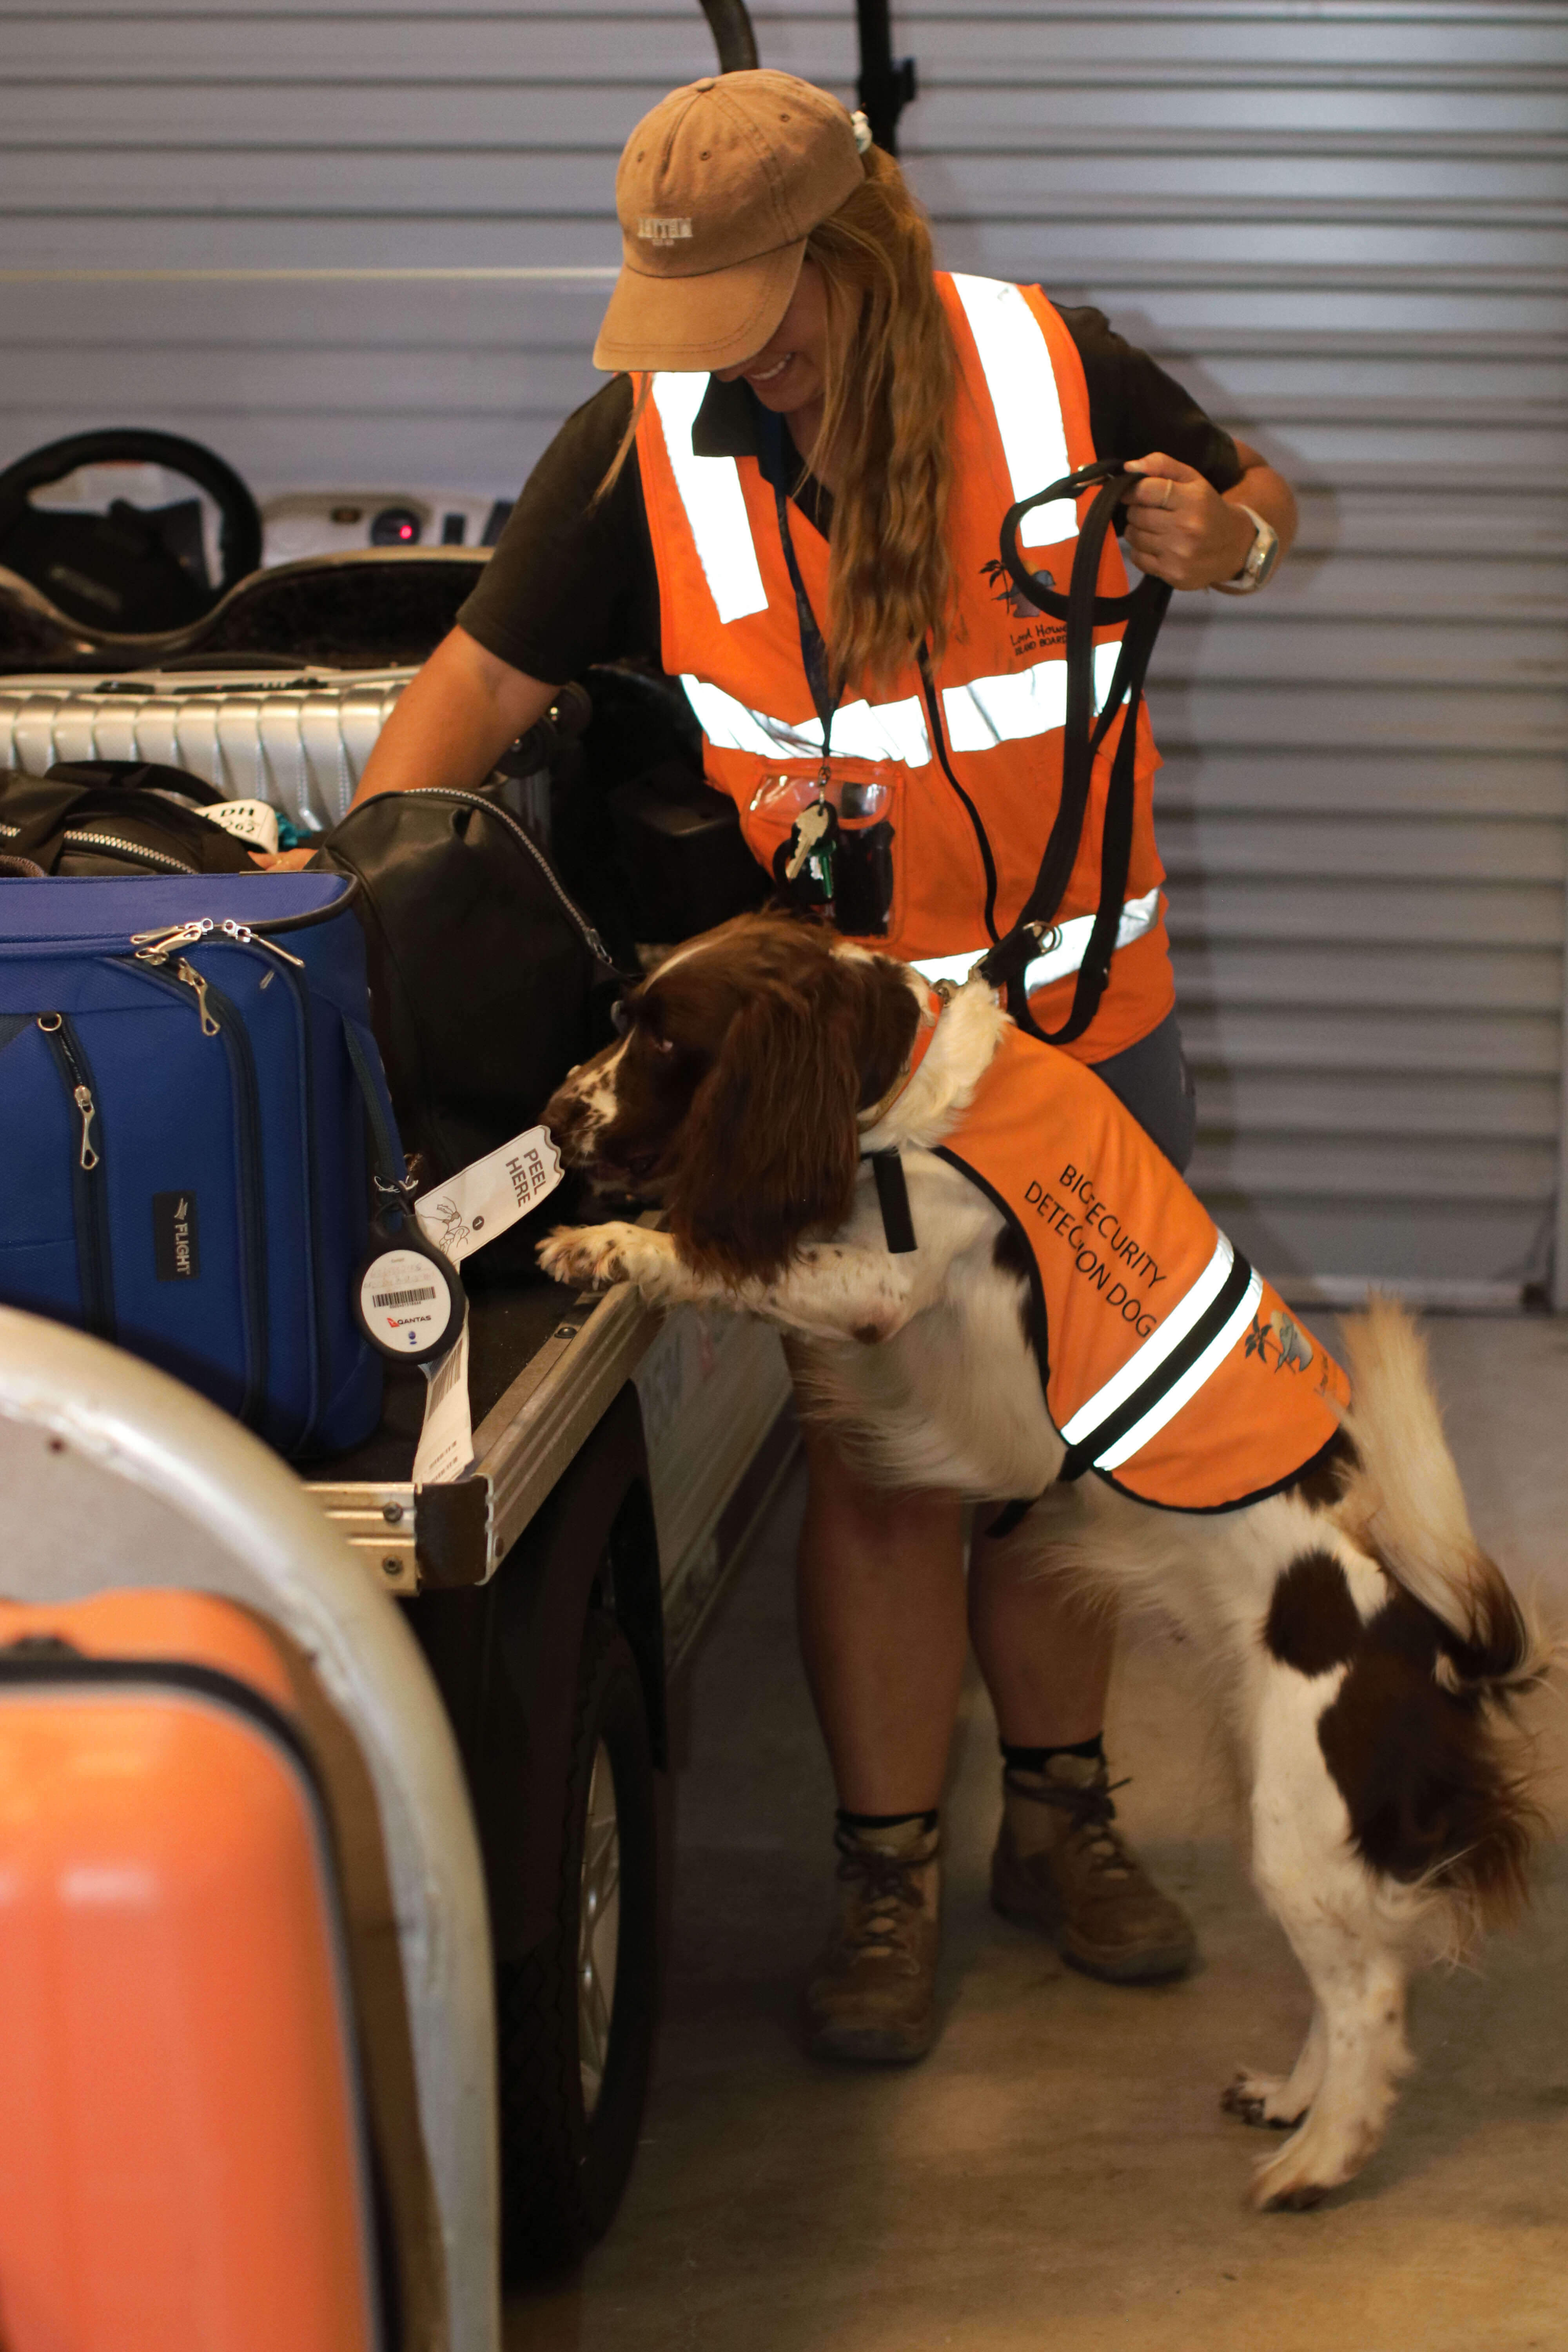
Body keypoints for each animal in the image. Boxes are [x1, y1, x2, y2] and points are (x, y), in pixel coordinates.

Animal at [541, 913, 1542, 2201]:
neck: (911, 1082)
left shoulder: (885, 1283)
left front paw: (600, 1243)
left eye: (664, 1037)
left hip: (1298, 1816)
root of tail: (1430, 1648)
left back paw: (1318, 2158)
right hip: (1292, 1806)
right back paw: (1290, 2100)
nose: (554, 1117)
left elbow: (714, 1258)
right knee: (1351, 1974)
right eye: (624, 1008)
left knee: (1369, 1992)